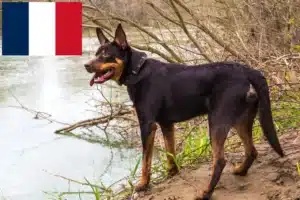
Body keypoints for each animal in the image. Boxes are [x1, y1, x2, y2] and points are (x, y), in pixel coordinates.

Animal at [84, 24, 284, 199]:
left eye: (106, 55)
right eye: (95, 54)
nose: (86, 65)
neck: (137, 70)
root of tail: (249, 70)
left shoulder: (147, 125)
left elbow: (146, 161)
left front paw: (142, 184)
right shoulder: (166, 124)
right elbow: (170, 152)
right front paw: (172, 173)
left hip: (217, 121)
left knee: (220, 160)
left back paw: (206, 193)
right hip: (241, 120)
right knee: (251, 151)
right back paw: (240, 171)